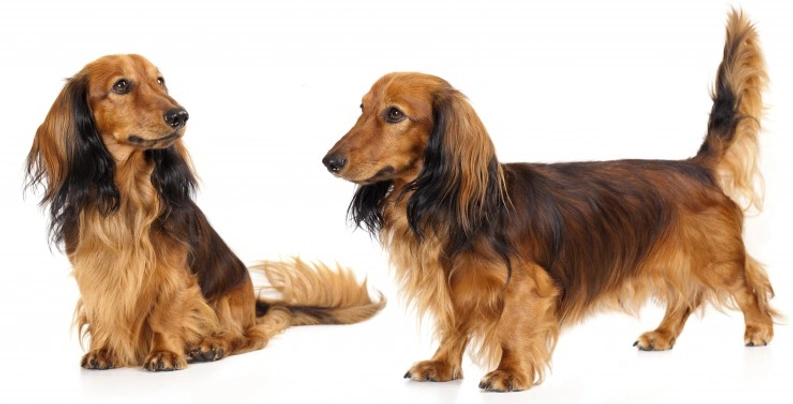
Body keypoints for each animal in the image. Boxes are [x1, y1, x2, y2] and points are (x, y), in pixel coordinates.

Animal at [24, 54, 384, 372]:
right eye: (121, 85)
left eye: (160, 80)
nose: (180, 115)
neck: (127, 197)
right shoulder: (94, 271)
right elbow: (102, 310)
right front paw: (105, 350)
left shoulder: (173, 274)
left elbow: (165, 313)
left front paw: (165, 353)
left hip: (228, 302)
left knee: (250, 336)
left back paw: (214, 345)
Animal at [322, 11, 772, 392]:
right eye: (362, 108)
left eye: (395, 114)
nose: (329, 161)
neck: (453, 202)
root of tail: (696, 166)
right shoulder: (457, 282)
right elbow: (454, 325)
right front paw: (442, 365)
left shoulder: (525, 285)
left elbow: (511, 329)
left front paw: (509, 373)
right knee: (686, 296)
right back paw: (662, 335)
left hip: (717, 258)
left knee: (749, 284)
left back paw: (759, 329)